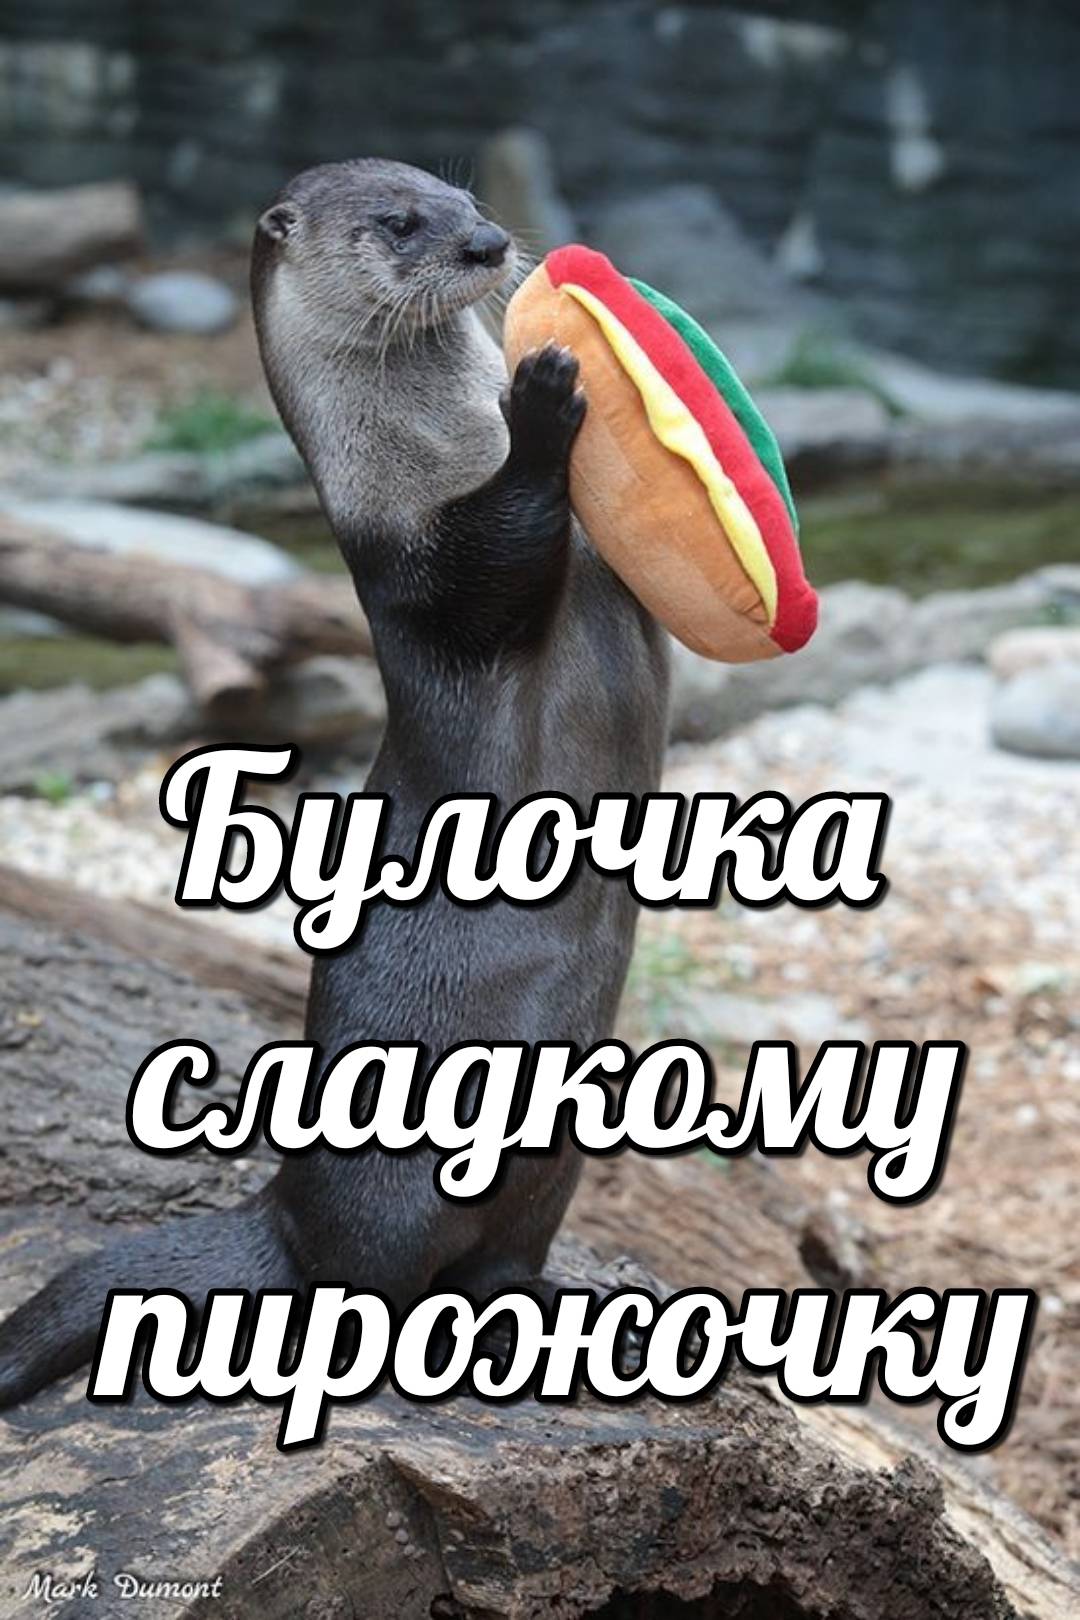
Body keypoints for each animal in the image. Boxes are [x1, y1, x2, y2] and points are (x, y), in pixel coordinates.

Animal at [0, 159, 669, 1407]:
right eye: (401, 224)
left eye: (464, 196)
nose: (488, 242)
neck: (427, 459)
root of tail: (282, 1214)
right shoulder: (420, 567)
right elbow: (503, 548)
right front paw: (544, 402)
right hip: (396, 1190)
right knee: (377, 1279)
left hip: (552, 1167)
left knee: (505, 1255)